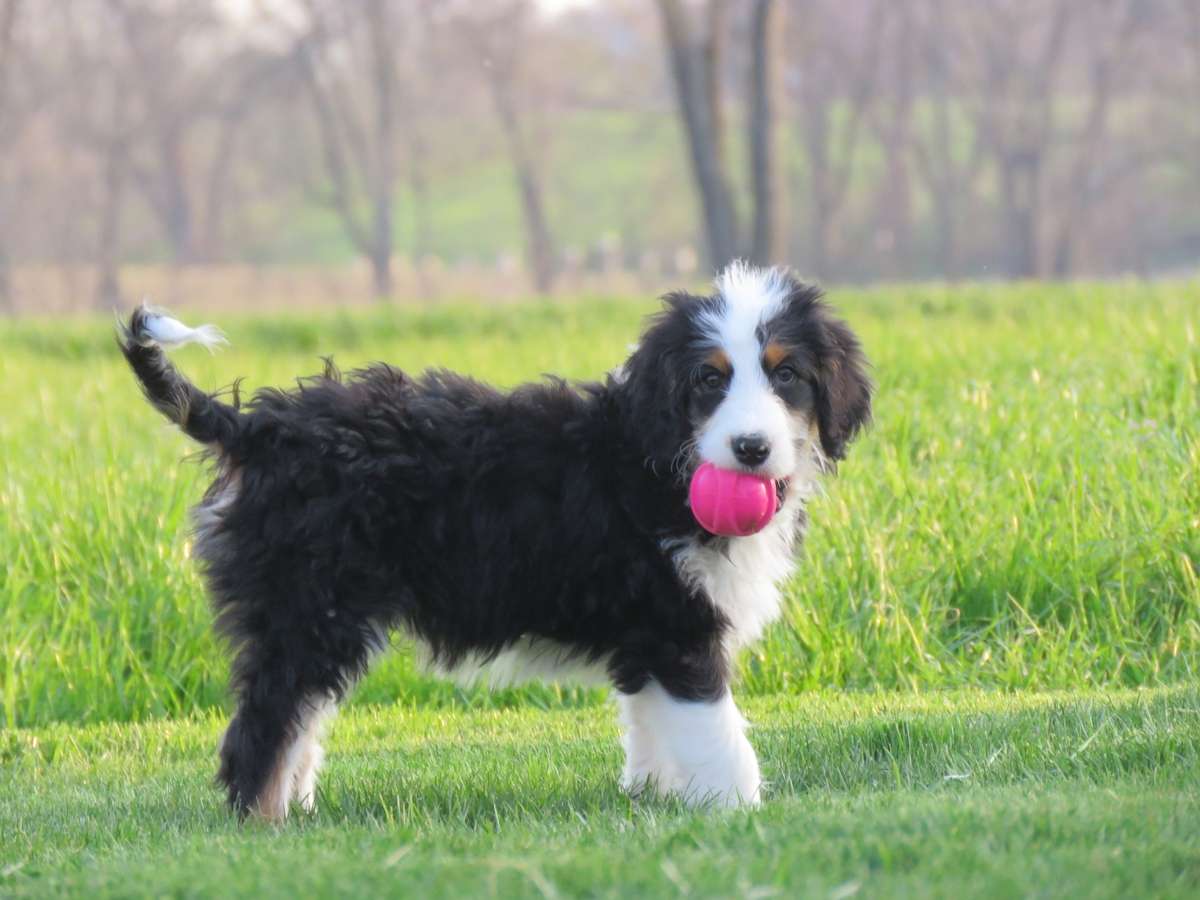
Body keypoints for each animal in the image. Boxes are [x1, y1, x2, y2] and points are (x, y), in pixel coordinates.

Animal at [119, 264, 873, 820]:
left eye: (786, 374)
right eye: (709, 379)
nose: (751, 449)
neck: (662, 457)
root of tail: (258, 428)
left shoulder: (647, 637)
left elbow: (653, 724)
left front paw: (657, 798)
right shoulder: (679, 629)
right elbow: (717, 734)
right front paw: (738, 814)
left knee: (297, 716)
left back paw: (296, 808)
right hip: (306, 604)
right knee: (266, 723)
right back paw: (262, 820)